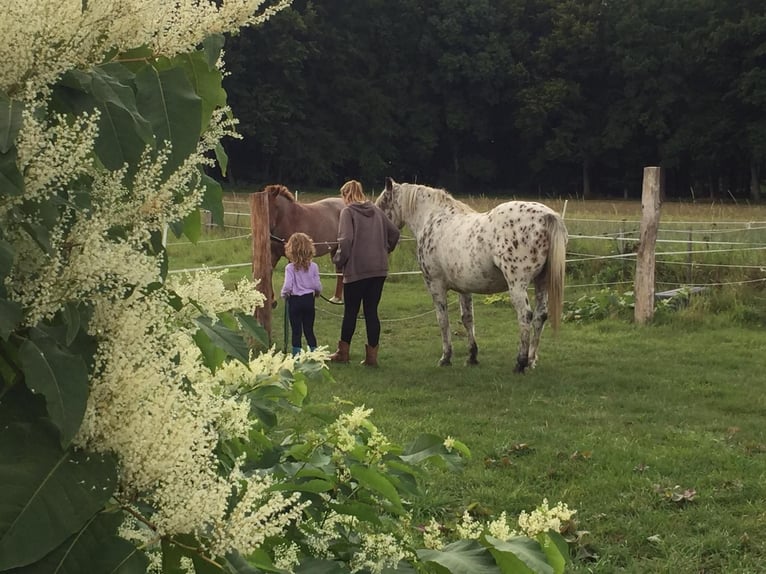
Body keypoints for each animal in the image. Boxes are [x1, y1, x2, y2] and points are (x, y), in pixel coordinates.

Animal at [378, 178, 568, 374]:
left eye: (383, 203)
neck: (434, 219)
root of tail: (547, 216)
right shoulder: (464, 288)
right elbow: (467, 319)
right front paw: (472, 357)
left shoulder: (435, 285)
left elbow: (442, 320)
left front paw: (446, 358)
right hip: (541, 282)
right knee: (540, 316)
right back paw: (531, 360)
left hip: (517, 284)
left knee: (525, 316)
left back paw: (520, 363)